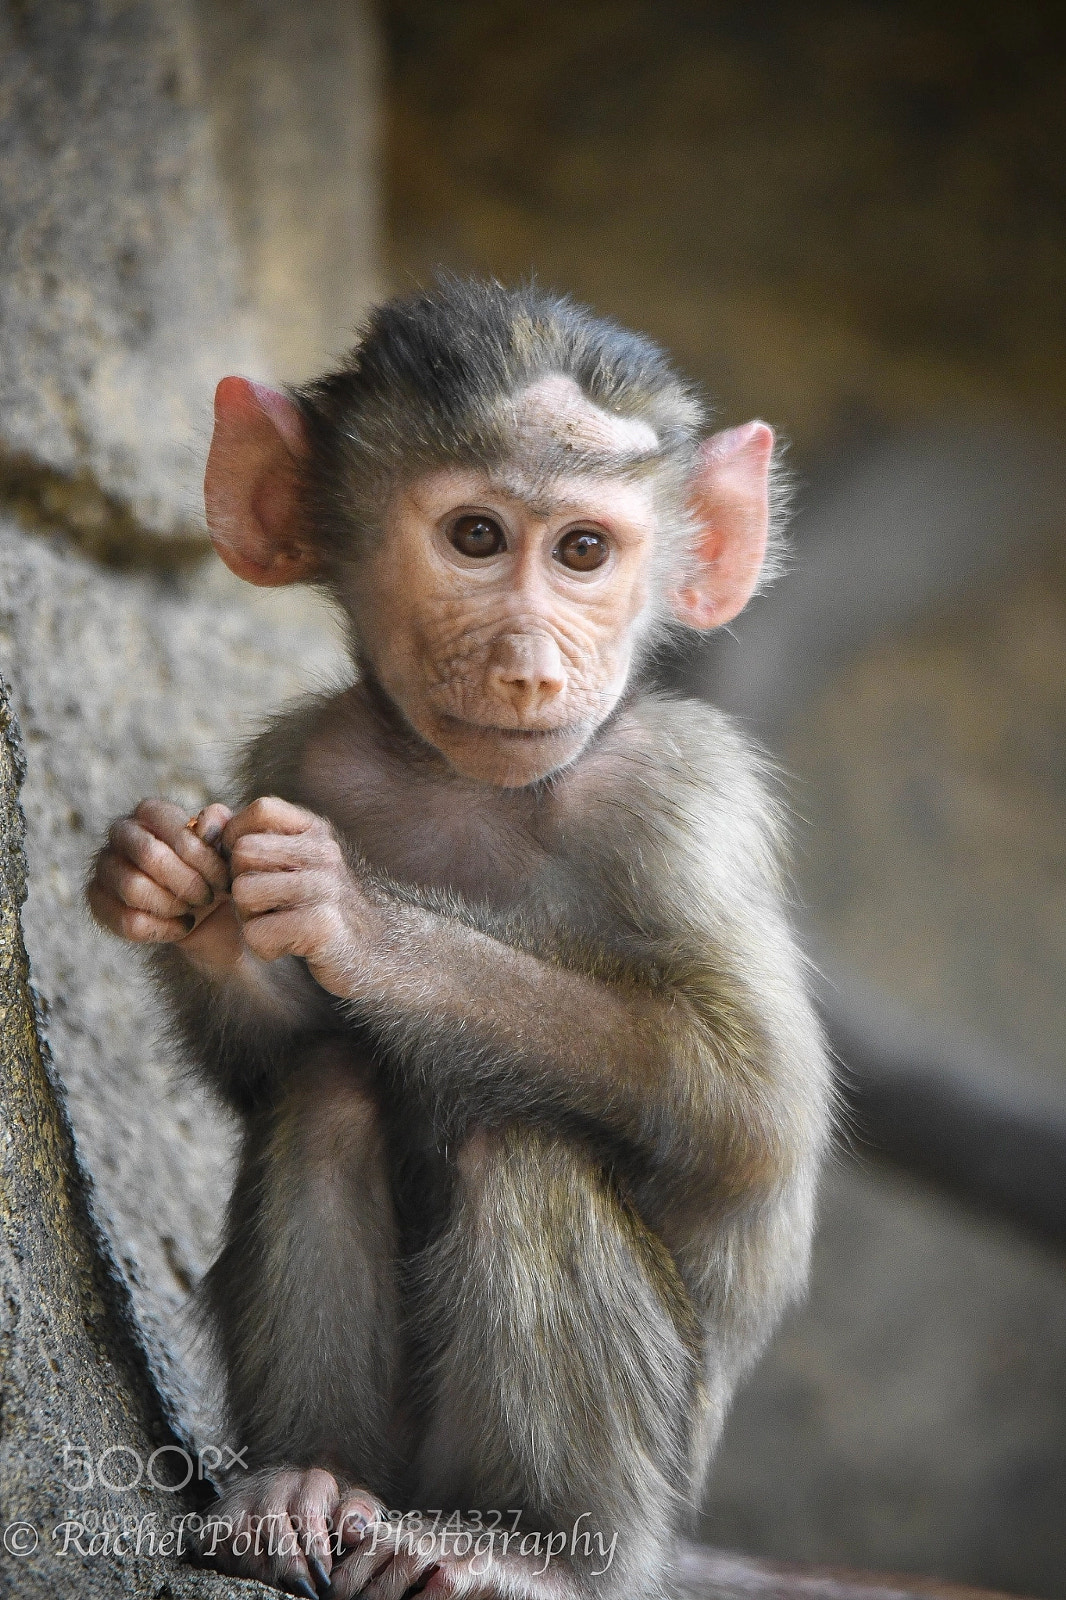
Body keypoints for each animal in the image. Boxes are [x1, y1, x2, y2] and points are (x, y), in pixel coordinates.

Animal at [87, 280, 831, 1600]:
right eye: (476, 537)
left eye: (583, 551)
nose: (528, 666)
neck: (478, 792)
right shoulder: (309, 755)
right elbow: (264, 1066)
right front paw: (187, 887)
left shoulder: (688, 797)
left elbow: (756, 1114)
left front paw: (364, 925)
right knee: (329, 1090)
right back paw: (305, 1482)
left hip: (645, 1495)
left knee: (525, 1143)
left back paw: (527, 1548)